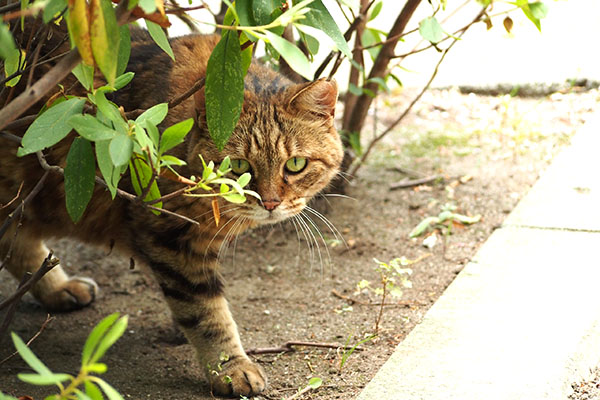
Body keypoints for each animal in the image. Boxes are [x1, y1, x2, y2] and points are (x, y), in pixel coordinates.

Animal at [0, 28, 344, 396]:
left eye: (295, 164)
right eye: (238, 166)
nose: (269, 203)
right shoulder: (172, 241)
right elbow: (206, 311)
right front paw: (230, 367)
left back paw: (58, 288)